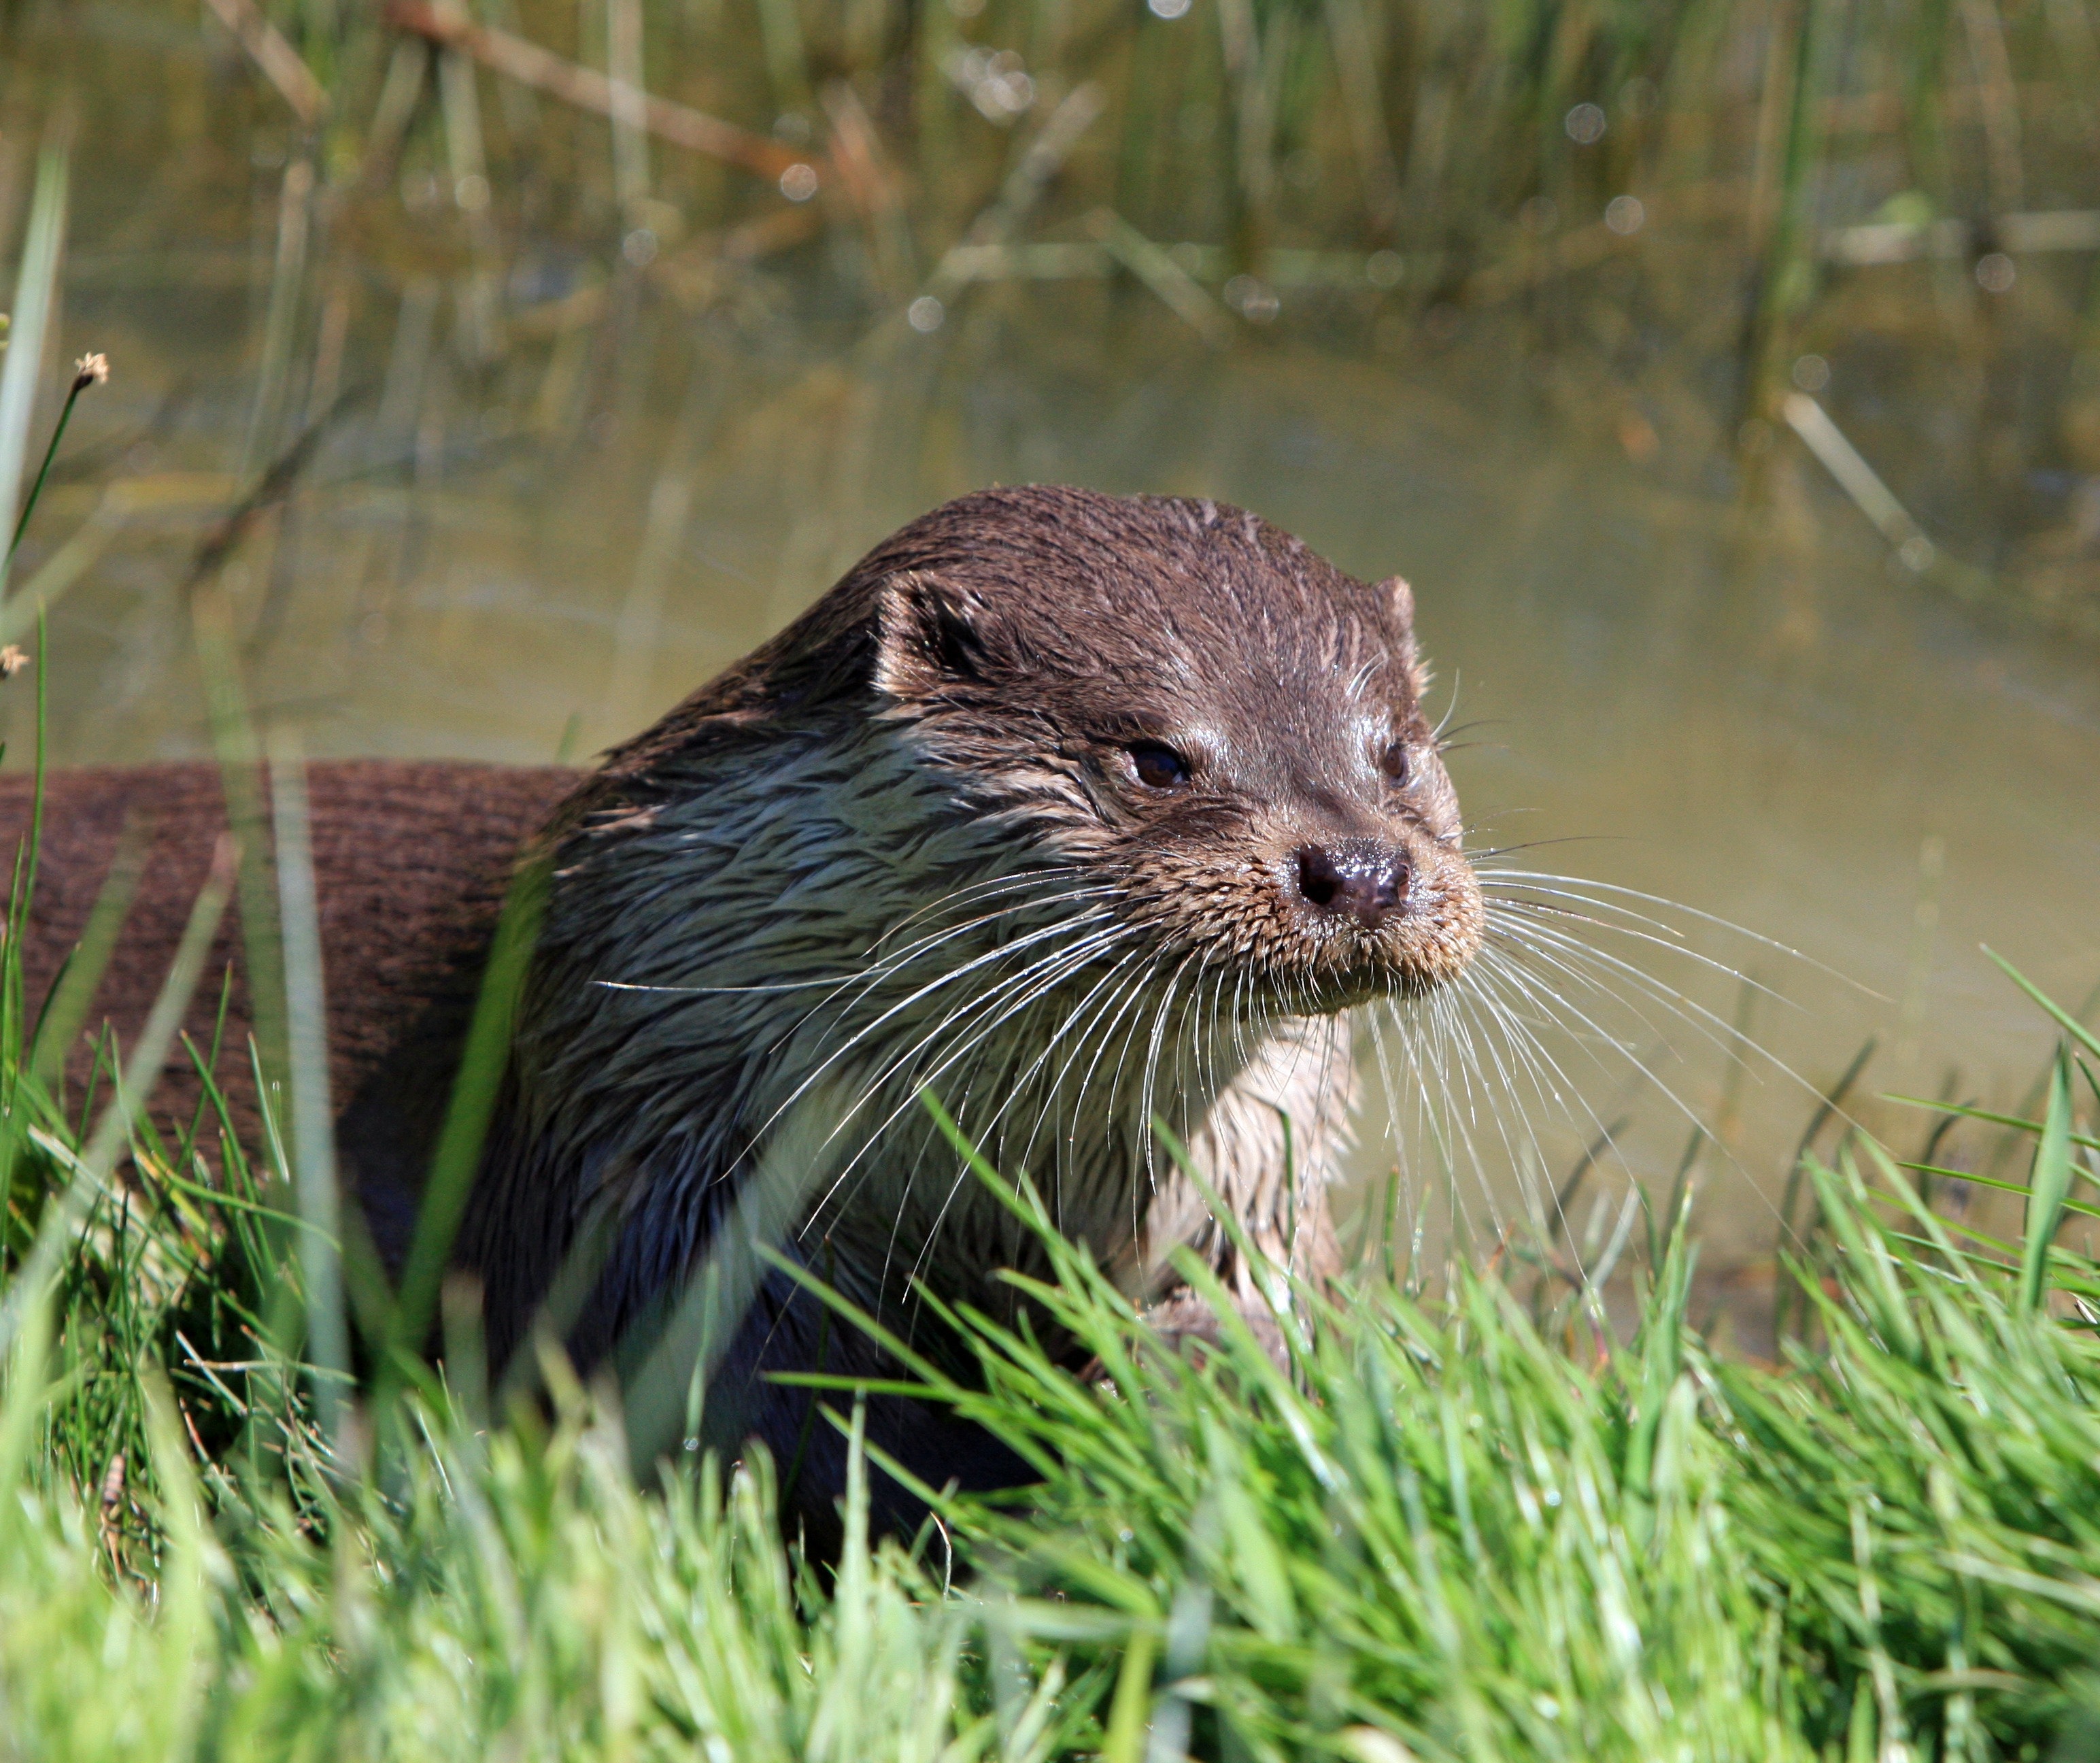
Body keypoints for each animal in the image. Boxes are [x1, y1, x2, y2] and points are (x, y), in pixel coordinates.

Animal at [0, 485, 1487, 1546]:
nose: (1361, 868)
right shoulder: (645, 1153)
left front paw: (1218, 1375)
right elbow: (755, 1400)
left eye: (1395, 754)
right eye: (1157, 758)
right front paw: (1015, 1463)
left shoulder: (1256, 1168)